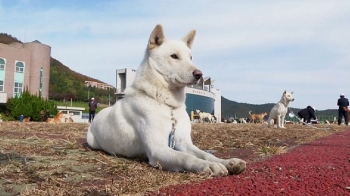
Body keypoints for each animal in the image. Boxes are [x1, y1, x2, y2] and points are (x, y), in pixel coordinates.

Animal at [87, 24, 246, 176]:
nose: (199, 74)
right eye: (174, 56)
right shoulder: (157, 149)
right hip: (92, 141)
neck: (168, 106)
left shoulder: (184, 142)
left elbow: (205, 154)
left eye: (191, 57)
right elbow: (185, 157)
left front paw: (227, 162)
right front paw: (207, 166)